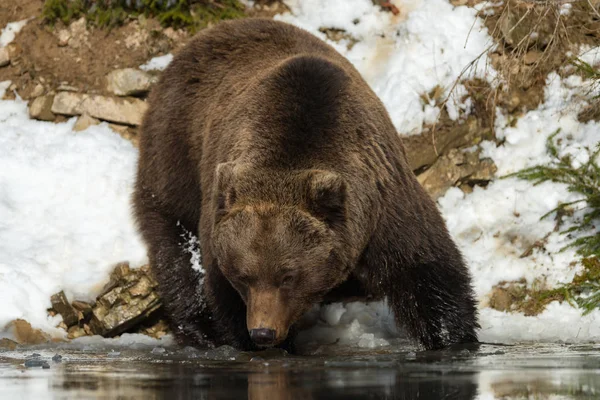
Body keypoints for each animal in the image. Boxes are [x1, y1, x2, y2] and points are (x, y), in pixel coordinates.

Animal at [135, 18, 478, 350]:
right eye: (245, 275)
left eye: (288, 275)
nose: (263, 332)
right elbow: (220, 288)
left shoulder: (383, 198)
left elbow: (423, 266)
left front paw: (451, 338)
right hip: (176, 150)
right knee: (177, 240)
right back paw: (201, 329)